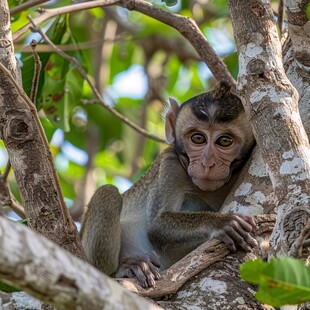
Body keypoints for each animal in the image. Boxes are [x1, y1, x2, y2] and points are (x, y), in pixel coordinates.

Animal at [80, 84, 256, 288]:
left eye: (225, 141)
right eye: (198, 138)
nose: (207, 163)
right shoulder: (170, 164)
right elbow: (158, 224)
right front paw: (222, 222)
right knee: (108, 193)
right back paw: (125, 269)